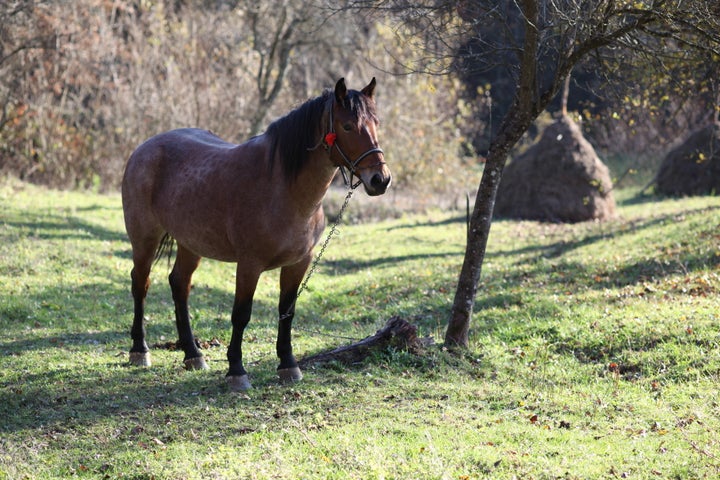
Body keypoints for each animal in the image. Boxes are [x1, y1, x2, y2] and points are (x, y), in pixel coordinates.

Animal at [125, 78, 394, 390]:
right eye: (348, 126)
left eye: (376, 123)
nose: (381, 179)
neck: (281, 188)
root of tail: (144, 147)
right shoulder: (249, 265)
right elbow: (241, 315)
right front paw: (236, 371)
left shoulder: (298, 263)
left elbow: (287, 312)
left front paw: (288, 365)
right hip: (144, 238)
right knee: (140, 284)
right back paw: (139, 350)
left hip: (190, 244)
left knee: (179, 284)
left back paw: (193, 355)